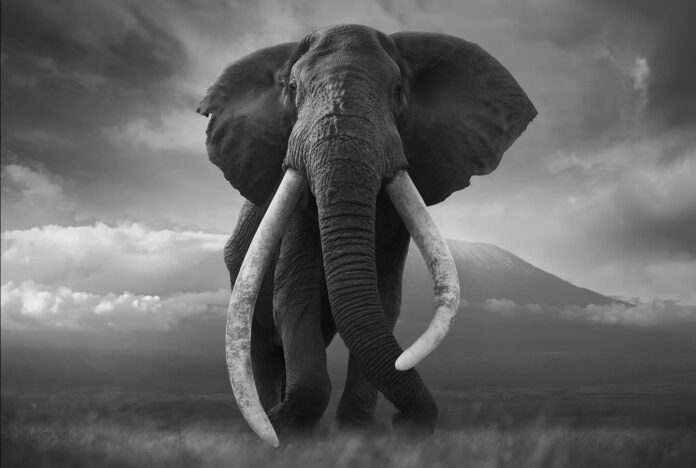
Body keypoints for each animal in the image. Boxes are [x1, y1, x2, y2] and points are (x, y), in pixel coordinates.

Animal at [197, 24, 536, 447]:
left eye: (397, 90)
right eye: (292, 88)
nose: (402, 423)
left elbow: (385, 302)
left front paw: (353, 438)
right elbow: (294, 296)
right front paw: (286, 429)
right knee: (261, 346)